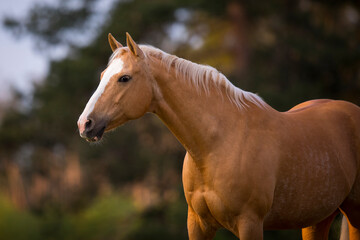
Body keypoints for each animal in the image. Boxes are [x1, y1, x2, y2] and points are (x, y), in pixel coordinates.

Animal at [78, 32, 360, 239]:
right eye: (103, 75)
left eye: (124, 78)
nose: (84, 124)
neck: (218, 145)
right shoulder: (198, 225)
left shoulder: (250, 224)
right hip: (317, 219)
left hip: (354, 213)